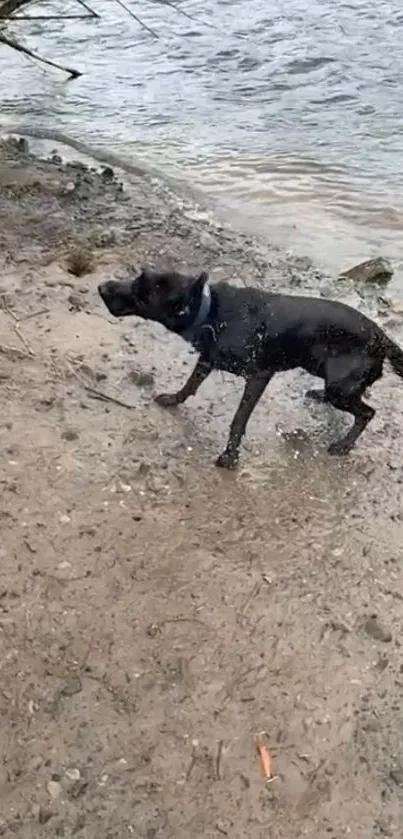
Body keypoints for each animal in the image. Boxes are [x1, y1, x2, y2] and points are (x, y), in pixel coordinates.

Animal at [98, 266, 403, 470]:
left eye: (142, 295)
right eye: (136, 279)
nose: (101, 287)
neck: (211, 311)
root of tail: (382, 337)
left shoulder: (258, 377)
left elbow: (238, 420)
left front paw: (230, 456)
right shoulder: (207, 359)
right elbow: (190, 384)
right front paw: (174, 399)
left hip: (340, 388)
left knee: (367, 412)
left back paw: (344, 444)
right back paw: (319, 397)